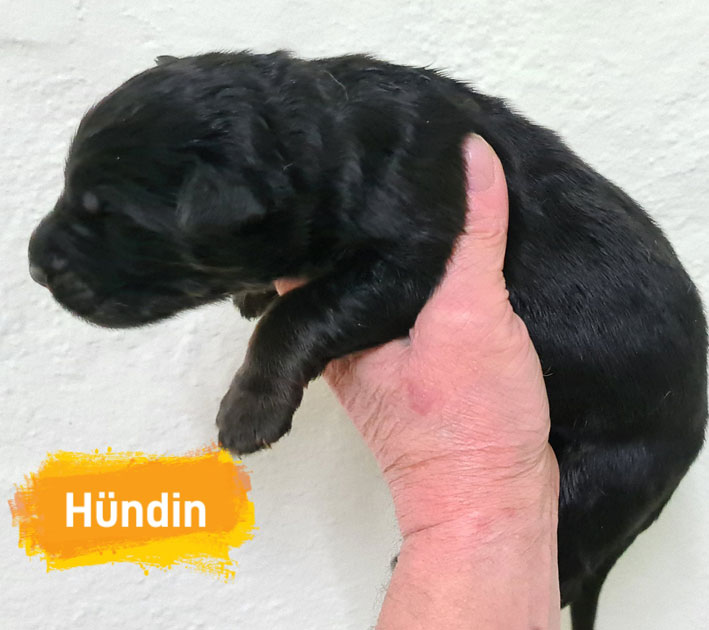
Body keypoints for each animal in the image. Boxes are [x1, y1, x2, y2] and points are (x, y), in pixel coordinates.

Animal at [28, 52, 707, 629]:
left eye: (110, 217)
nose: (33, 266)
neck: (330, 132)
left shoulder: (406, 255)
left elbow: (299, 312)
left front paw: (247, 410)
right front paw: (253, 295)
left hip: (600, 481)